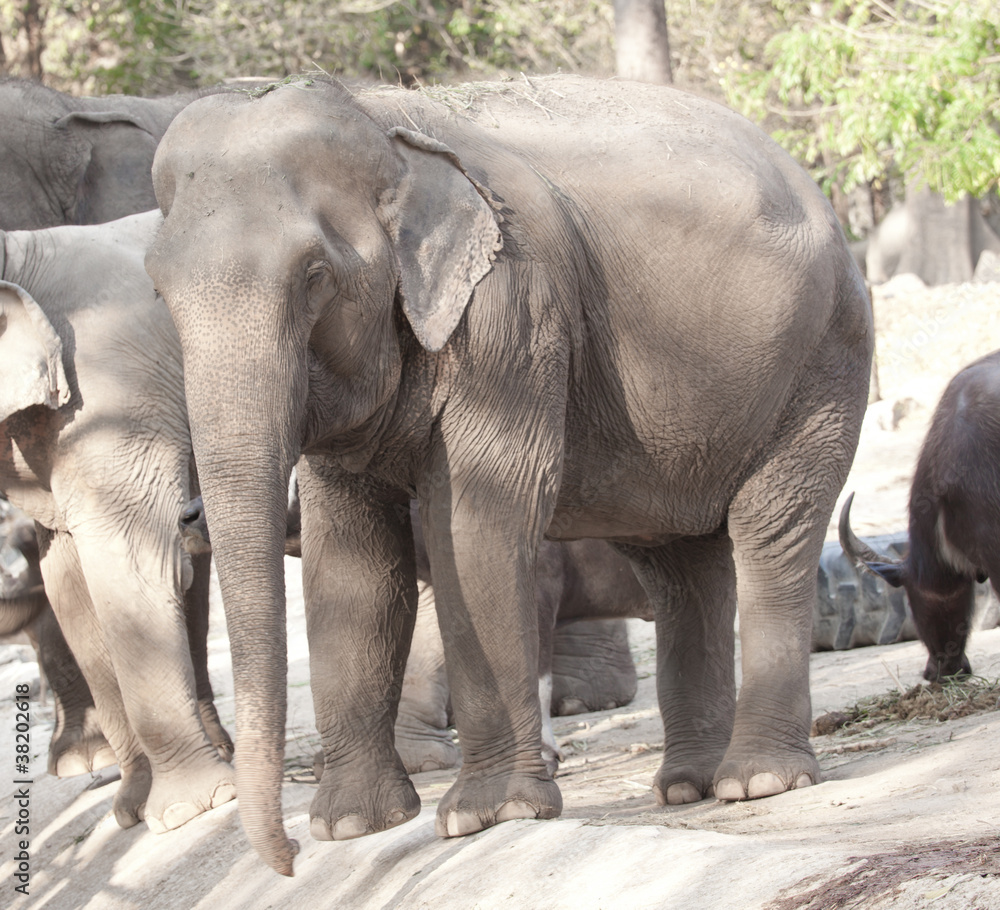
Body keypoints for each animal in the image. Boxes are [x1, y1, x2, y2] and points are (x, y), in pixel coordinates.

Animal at [144, 74, 873, 874]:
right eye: (160, 293)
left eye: (314, 277)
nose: (286, 860)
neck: (378, 119)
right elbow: (354, 561)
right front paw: (354, 827)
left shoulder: (513, 306)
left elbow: (475, 528)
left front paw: (488, 817)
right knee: (683, 563)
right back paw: (691, 786)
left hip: (823, 363)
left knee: (770, 533)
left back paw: (758, 781)